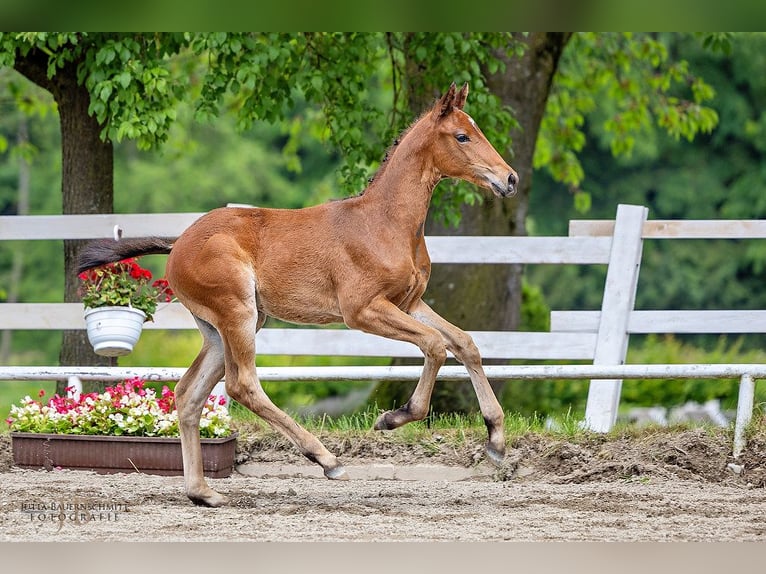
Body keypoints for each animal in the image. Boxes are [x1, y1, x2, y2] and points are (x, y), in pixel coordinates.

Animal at [81, 83, 520, 506]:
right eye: (462, 135)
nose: (511, 179)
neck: (385, 222)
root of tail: (178, 245)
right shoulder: (363, 310)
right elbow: (434, 345)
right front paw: (392, 418)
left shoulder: (408, 303)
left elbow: (464, 343)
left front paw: (497, 441)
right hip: (238, 313)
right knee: (242, 385)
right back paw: (326, 459)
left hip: (223, 327)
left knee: (189, 392)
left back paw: (203, 493)